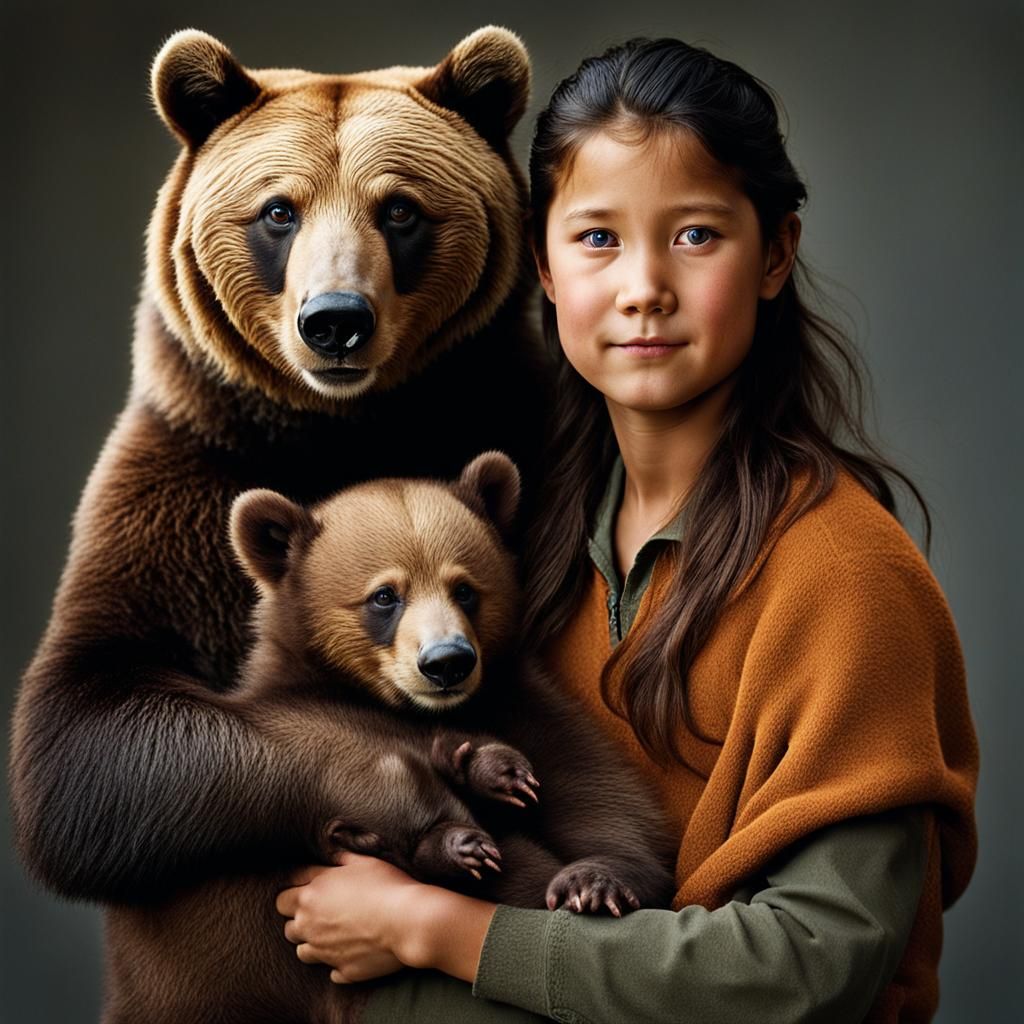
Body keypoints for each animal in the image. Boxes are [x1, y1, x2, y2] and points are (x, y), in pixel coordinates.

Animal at [11, 24, 548, 912]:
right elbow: (87, 729)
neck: (344, 428)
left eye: (399, 209)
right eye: (277, 211)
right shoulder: (185, 480)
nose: (335, 321)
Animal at [101, 452, 675, 1024]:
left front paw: (592, 881)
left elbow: (604, 803)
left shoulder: (526, 705)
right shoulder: (292, 717)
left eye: (464, 588)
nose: (447, 662)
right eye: (384, 596)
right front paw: (453, 813)